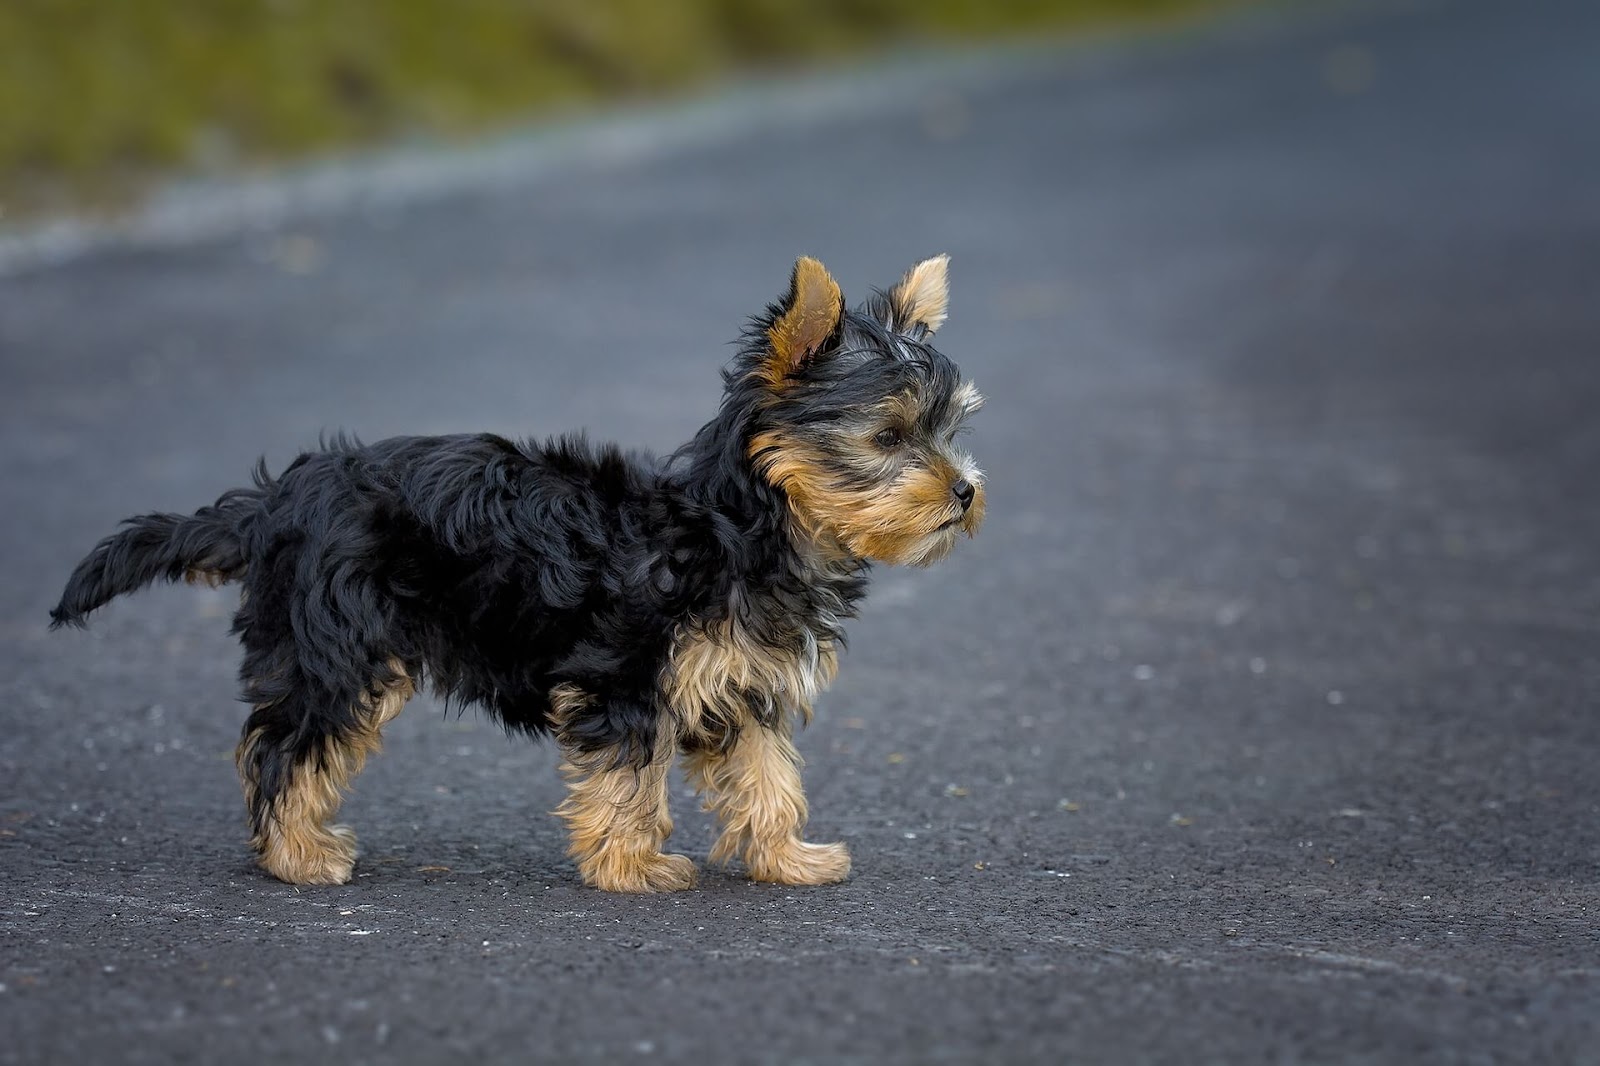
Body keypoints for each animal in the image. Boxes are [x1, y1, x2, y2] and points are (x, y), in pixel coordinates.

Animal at [53, 256, 985, 889]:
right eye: (889, 437)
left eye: (949, 431)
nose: (967, 491)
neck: (738, 527)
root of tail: (277, 501)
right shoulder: (627, 677)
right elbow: (628, 777)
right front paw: (632, 868)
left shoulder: (740, 684)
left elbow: (767, 774)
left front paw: (787, 857)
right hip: (341, 647)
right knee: (290, 746)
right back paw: (298, 856)